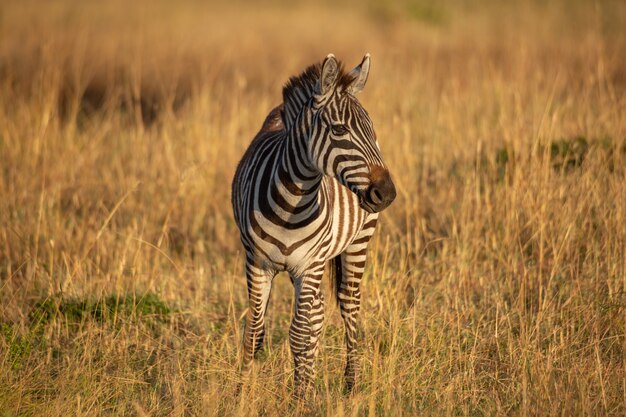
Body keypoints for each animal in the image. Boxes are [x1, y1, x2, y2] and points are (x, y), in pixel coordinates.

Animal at [229, 53, 394, 394]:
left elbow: (298, 335)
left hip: (356, 243)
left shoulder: (309, 265)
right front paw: (241, 394)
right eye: (339, 130)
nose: (387, 194)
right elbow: (254, 332)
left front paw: (299, 397)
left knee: (349, 308)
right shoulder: (255, 262)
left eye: (371, 130)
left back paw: (351, 385)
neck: (292, 201)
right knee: (317, 314)